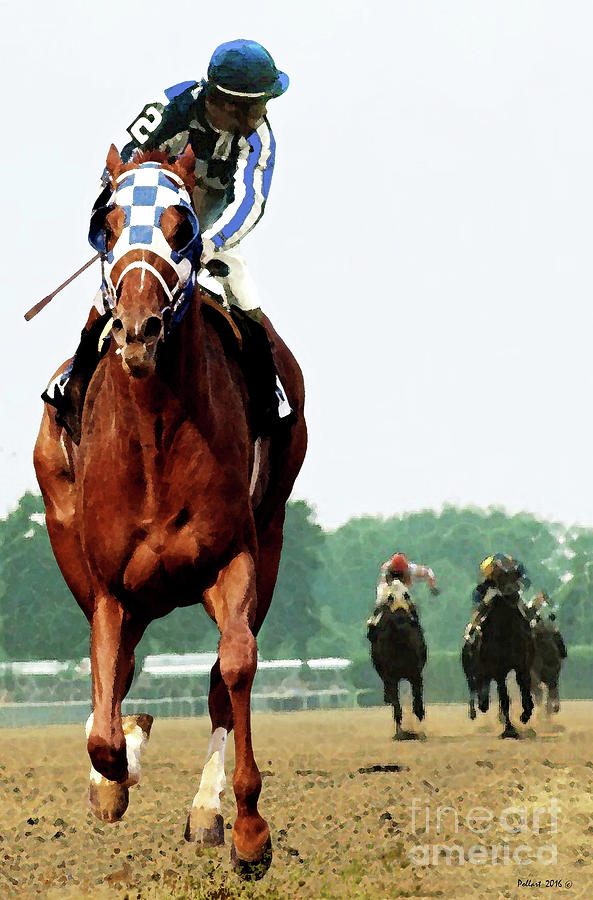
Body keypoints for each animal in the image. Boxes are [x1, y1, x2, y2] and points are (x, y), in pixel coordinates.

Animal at [34, 144, 308, 876]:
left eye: (182, 226)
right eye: (108, 224)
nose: (139, 329)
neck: (155, 433)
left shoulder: (235, 555)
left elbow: (233, 668)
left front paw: (246, 829)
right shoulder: (106, 582)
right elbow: (104, 717)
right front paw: (116, 771)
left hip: (270, 539)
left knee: (213, 674)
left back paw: (206, 810)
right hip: (69, 541)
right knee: (118, 672)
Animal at [460, 592, 536, 740]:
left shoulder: (522, 666)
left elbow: (525, 692)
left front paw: (525, 714)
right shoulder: (497, 672)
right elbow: (505, 699)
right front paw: (510, 730)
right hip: (470, 669)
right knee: (472, 686)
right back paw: (475, 710)